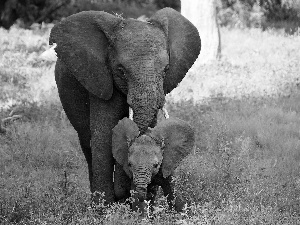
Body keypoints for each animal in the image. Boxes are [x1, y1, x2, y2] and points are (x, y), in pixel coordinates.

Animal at [49, 7, 202, 205]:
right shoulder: (100, 76)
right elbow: (104, 134)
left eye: (166, 70)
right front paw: (104, 208)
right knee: (86, 142)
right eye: (121, 70)